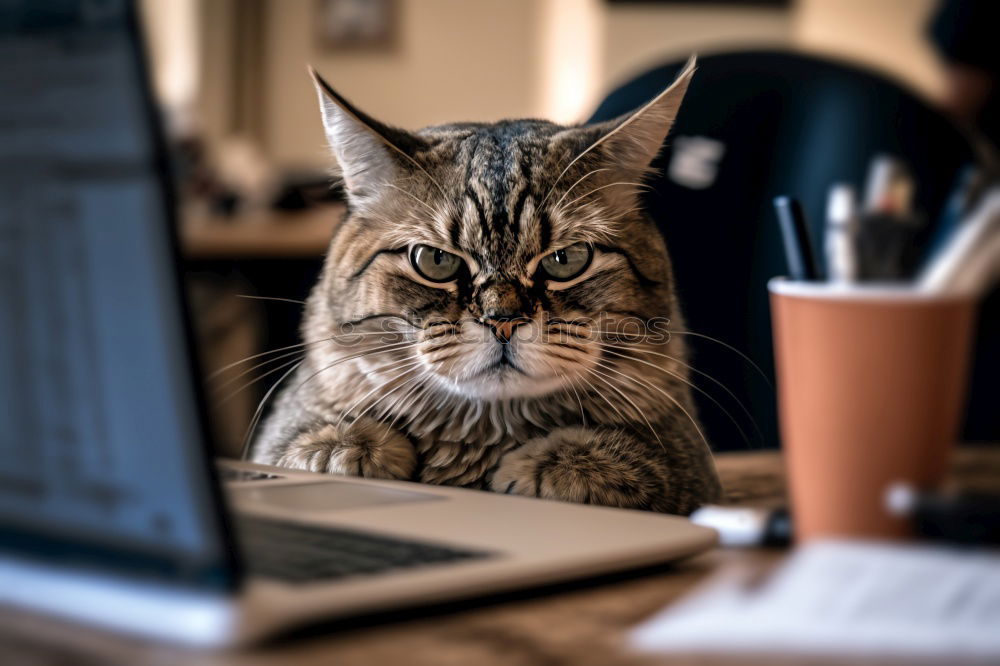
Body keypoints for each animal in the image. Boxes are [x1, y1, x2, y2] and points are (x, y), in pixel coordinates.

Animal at [250, 58, 720, 512]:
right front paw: (350, 448)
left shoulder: (688, 460)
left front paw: (554, 467)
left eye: (566, 260)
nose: (503, 320)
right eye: (435, 261)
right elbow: (312, 448)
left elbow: (633, 461)